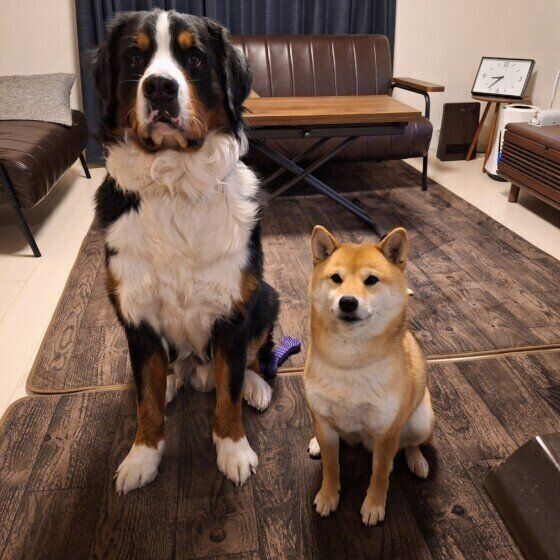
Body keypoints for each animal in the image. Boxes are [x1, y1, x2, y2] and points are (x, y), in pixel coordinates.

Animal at [92, 9, 279, 494]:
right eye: (134, 57)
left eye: (193, 58)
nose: (160, 87)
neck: (175, 183)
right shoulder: (135, 313)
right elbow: (146, 399)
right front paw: (142, 456)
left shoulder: (233, 310)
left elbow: (228, 392)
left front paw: (234, 450)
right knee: (168, 370)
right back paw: (175, 379)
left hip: (266, 296)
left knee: (252, 358)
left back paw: (256, 386)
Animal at [304, 226, 434, 525]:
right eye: (336, 278)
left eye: (371, 280)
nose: (348, 302)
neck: (350, 362)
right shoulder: (325, 423)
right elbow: (331, 466)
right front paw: (328, 495)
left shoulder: (386, 433)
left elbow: (380, 474)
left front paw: (374, 505)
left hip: (420, 421)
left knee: (411, 444)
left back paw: (417, 460)